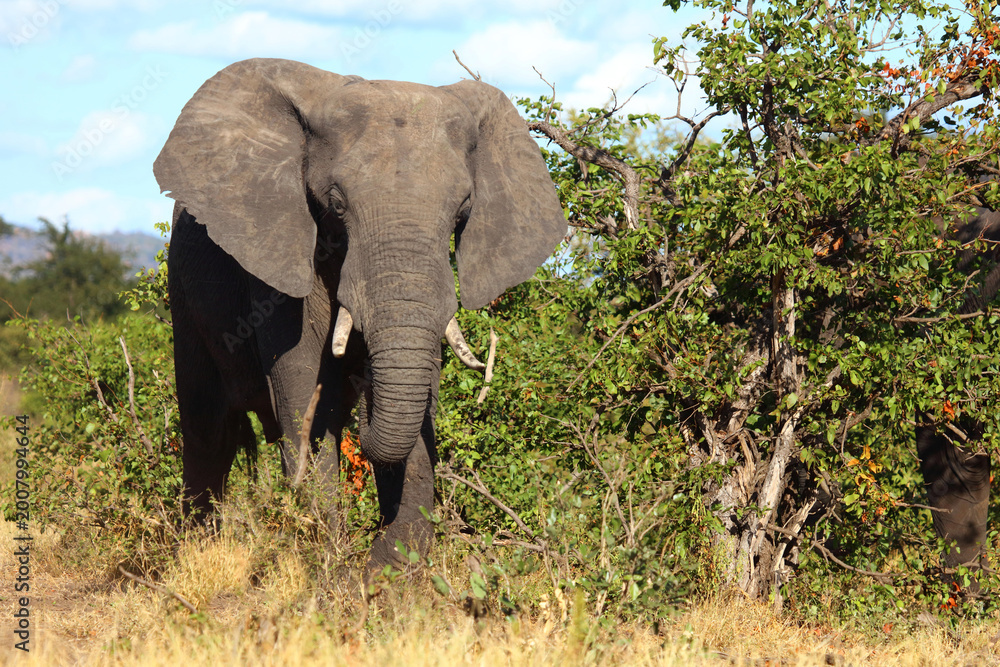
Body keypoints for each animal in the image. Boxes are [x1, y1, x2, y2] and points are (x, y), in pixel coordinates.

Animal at [153, 58, 566, 567]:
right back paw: (195, 550)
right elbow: (300, 388)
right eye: (336, 203)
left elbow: (418, 398)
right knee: (207, 430)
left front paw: (389, 570)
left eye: (463, 210)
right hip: (184, 294)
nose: (364, 378)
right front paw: (325, 565)